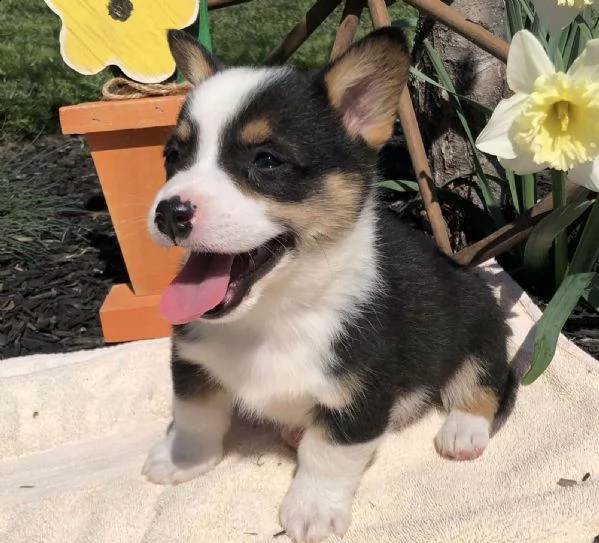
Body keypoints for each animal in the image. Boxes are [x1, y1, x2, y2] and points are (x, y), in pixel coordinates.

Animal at [144, 27, 516, 540]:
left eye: (267, 161)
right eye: (173, 156)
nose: (169, 213)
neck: (274, 313)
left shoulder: (358, 393)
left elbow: (328, 456)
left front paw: (311, 512)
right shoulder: (191, 362)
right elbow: (195, 417)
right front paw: (181, 460)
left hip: (480, 320)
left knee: (485, 381)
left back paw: (462, 431)